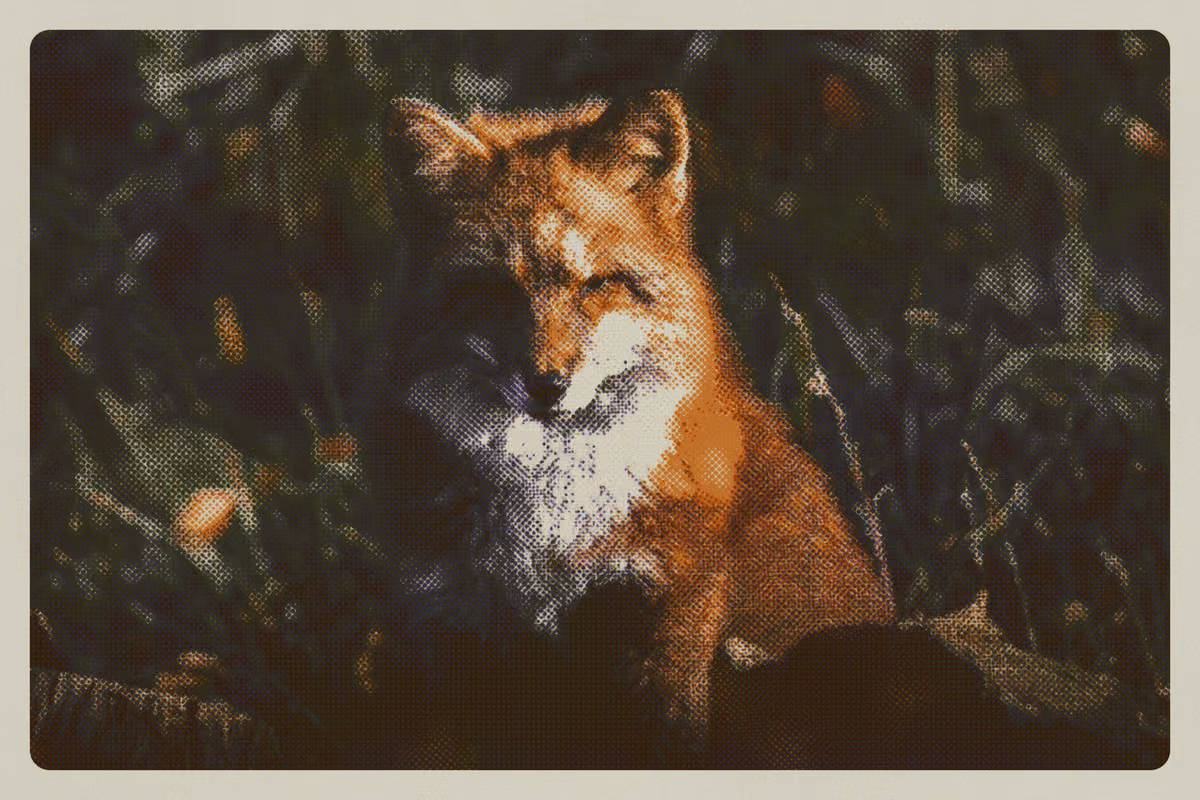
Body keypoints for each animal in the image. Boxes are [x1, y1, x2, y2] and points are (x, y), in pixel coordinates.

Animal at [371, 89, 895, 749]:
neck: (551, 523)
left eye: (598, 284)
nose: (547, 385)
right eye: (495, 291)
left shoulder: (663, 626)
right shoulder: (448, 623)